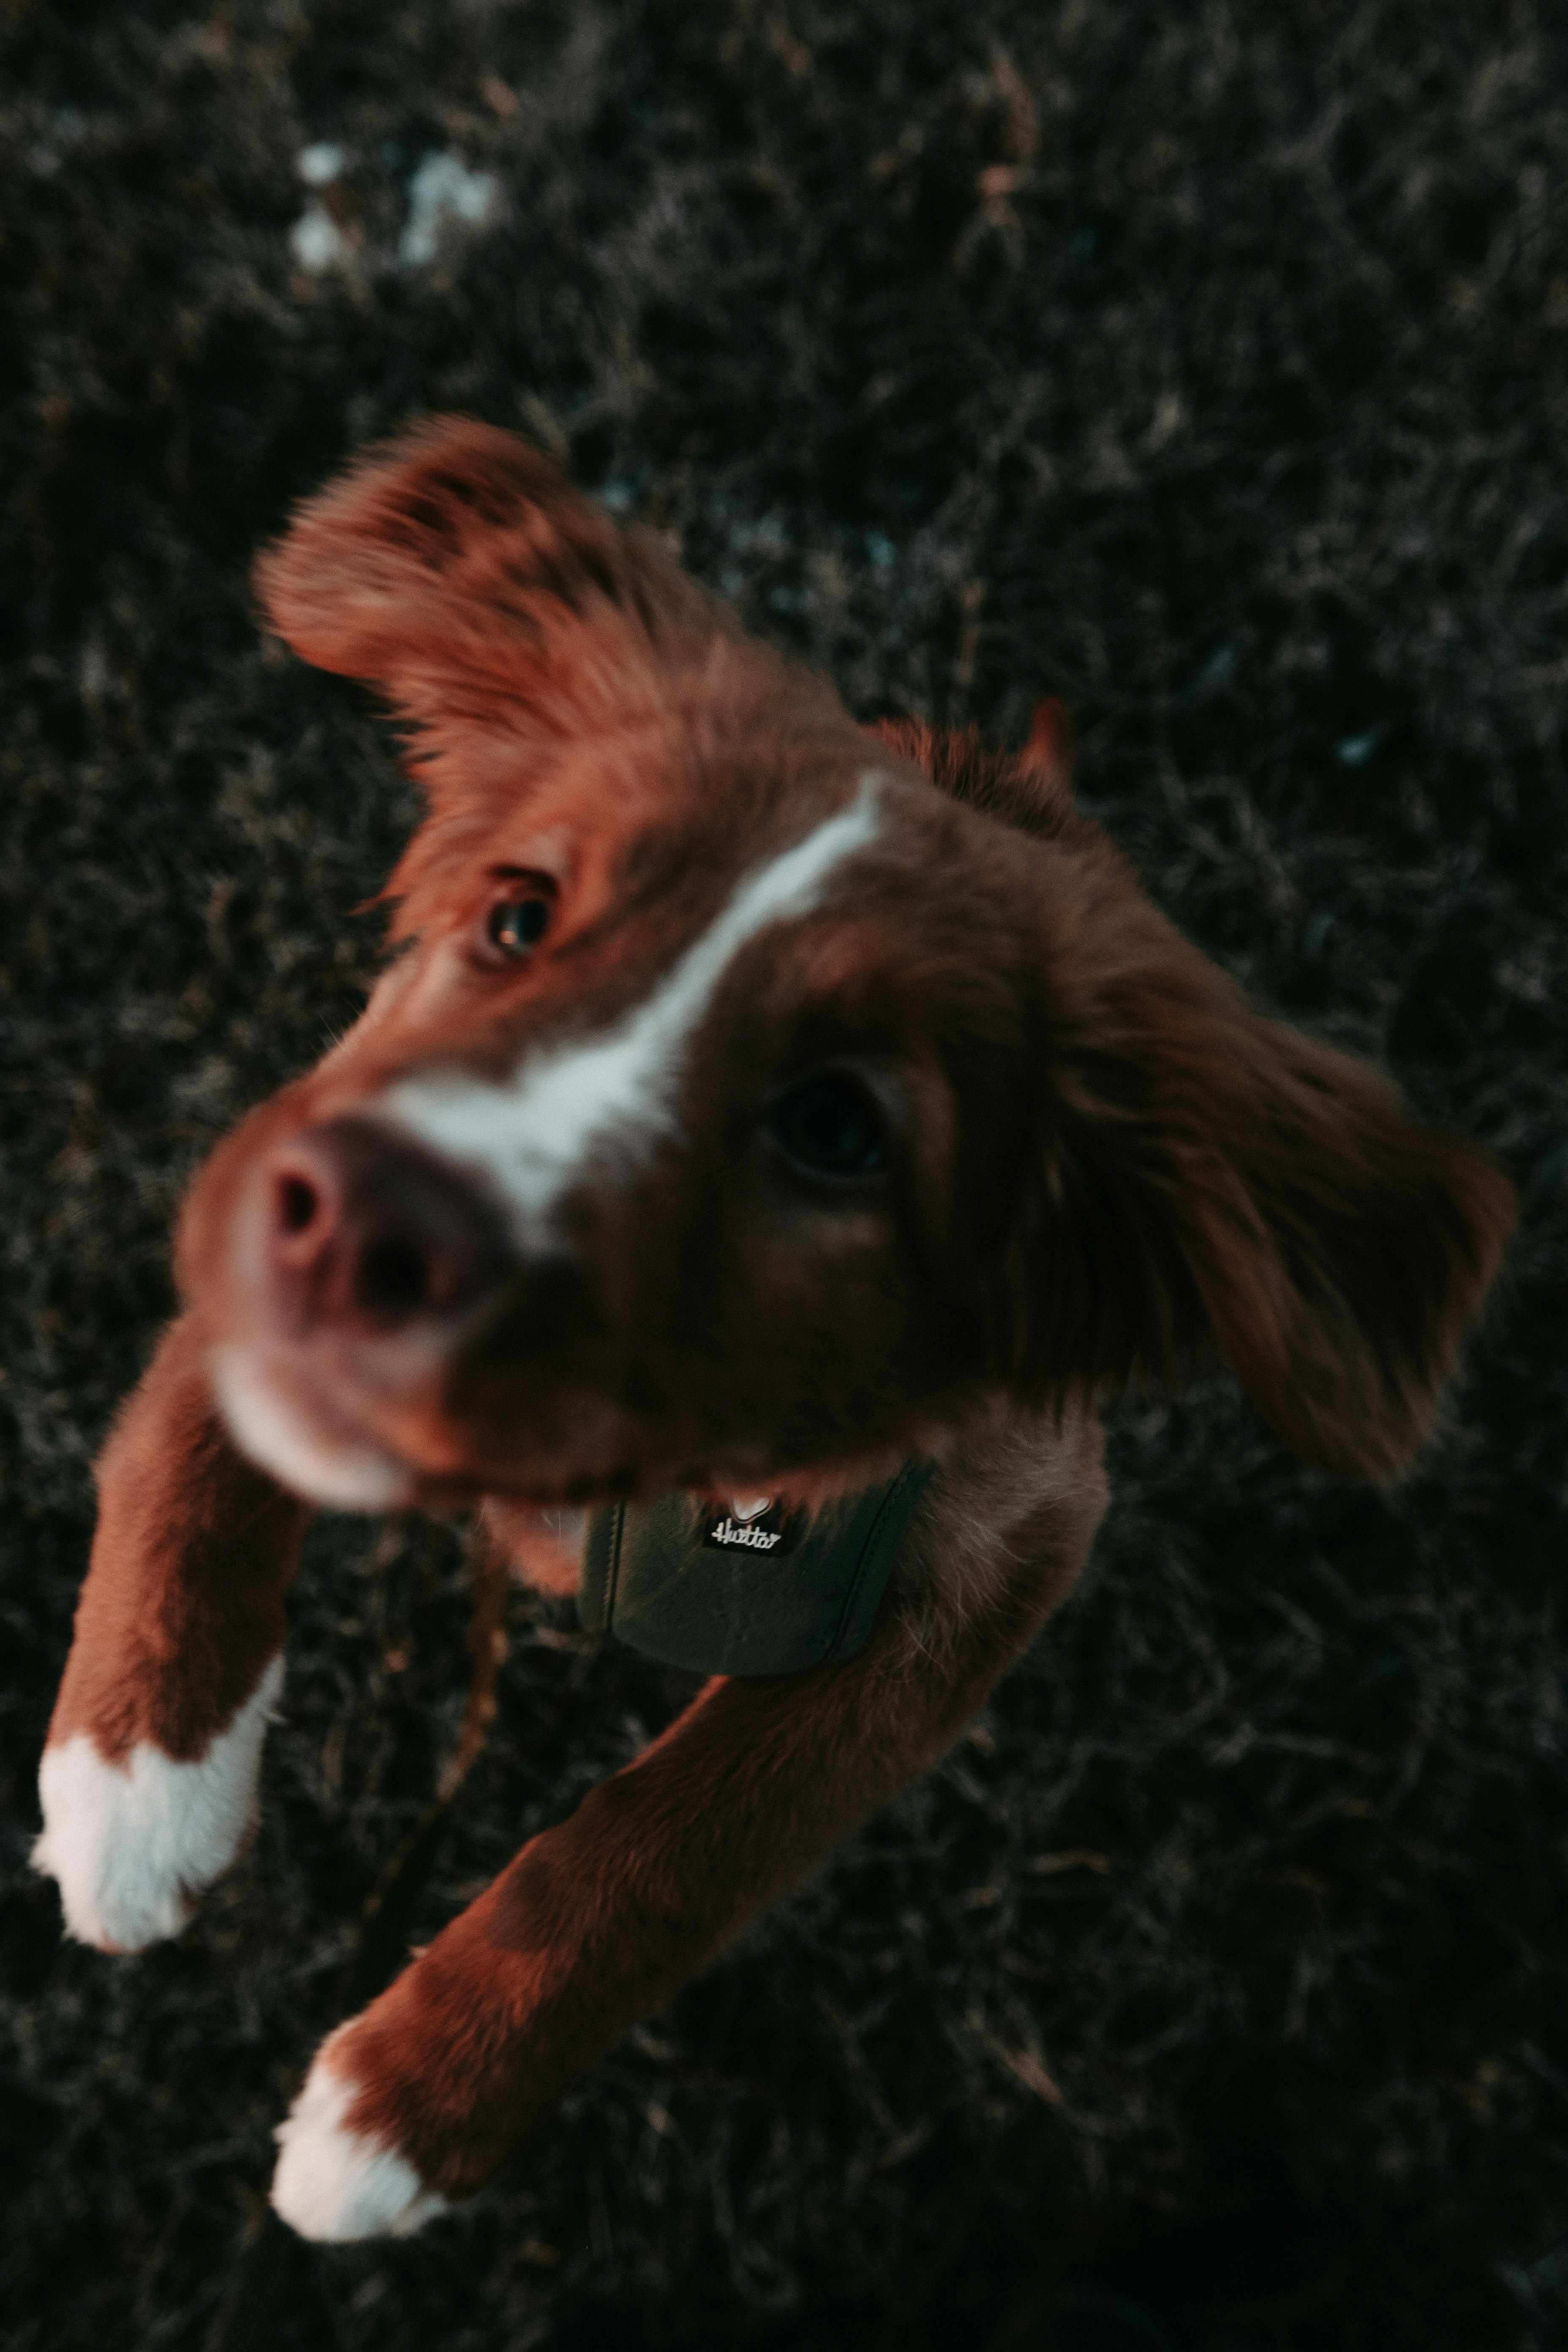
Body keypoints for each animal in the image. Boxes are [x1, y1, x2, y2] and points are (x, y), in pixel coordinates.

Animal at [30, 419, 1514, 2239]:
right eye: (516, 916)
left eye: (837, 1129)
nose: (370, 1223)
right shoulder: (317, 1108)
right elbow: (188, 1435)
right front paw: (136, 1781)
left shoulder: (991, 1561)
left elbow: (671, 1847)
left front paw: (399, 2113)